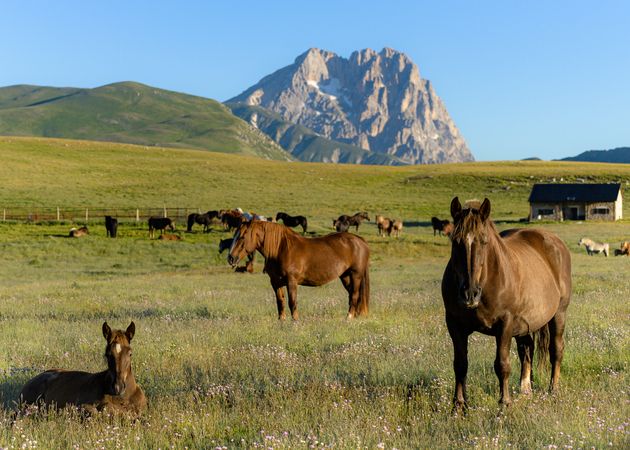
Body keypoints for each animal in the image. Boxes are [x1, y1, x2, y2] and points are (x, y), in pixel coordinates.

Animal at [228, 221, 370, 320]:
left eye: (242, 237)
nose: (230, 258)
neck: (280, 249)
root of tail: (360, 240)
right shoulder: (275, 282)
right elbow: (280, 302)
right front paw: (281, 321)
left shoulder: (292, 281)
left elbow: (292, 302)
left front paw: (295, 321)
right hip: (345, 276)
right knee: (352, 294)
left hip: (356, 275)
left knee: (355, 295)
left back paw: (349, 317)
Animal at [444, 199, 572, 410]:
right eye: (456, 241)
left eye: (484, 241)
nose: (469, 294)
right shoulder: (455, 325)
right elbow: (460, 364)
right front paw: (459, 406)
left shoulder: (505, 323)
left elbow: (502, 364)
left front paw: (504, 403)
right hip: (526, 323)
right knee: (527, 349)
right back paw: (526, 390)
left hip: (559, 314)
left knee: (556, 350)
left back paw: (553, 390)